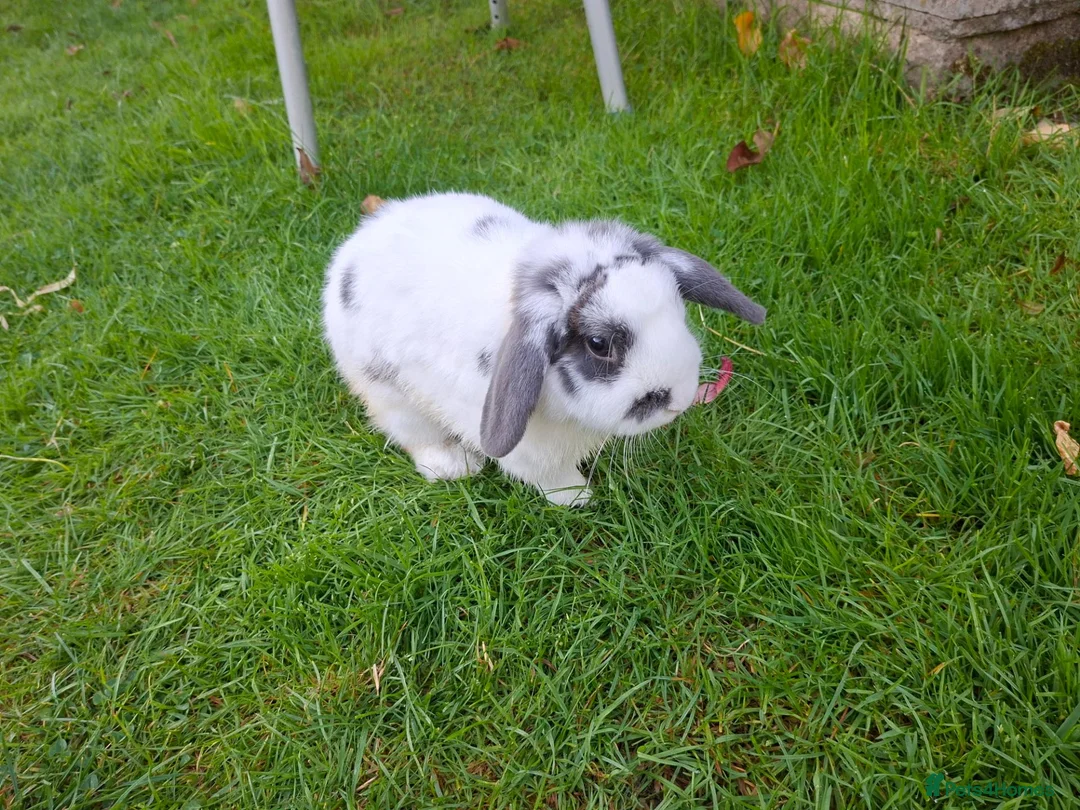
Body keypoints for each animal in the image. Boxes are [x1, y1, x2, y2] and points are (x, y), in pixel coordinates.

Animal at [322, 192, 766, 506]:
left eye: (677, 307)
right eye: (599, 344)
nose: (679, 398)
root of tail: (356, 244)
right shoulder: (531, 451)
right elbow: (550, 479)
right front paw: (578, 497)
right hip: (388, 392)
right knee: (414, 434)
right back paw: (454, 466)